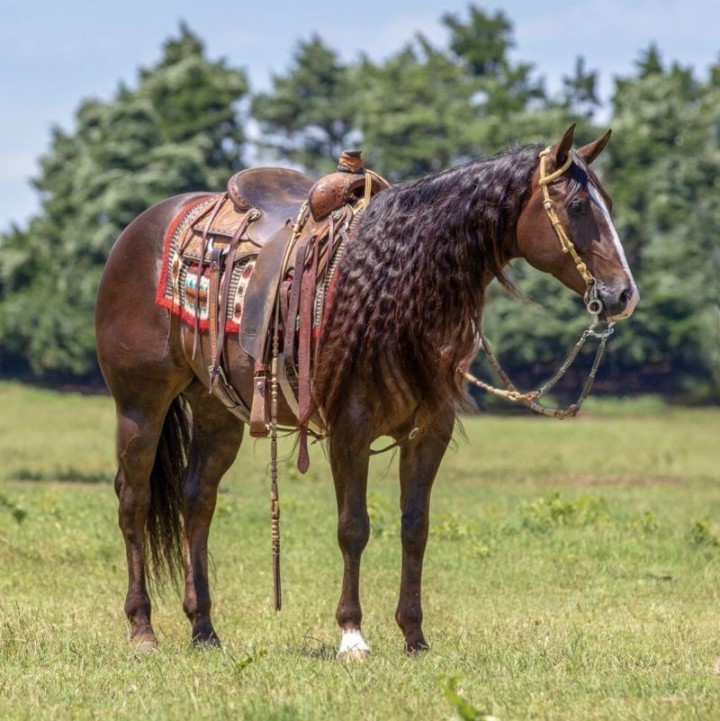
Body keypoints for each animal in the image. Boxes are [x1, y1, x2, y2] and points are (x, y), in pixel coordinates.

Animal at [95, 124, 638, 659]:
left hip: (216, 409)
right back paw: (142, 630)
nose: (623, 295)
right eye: (577, 206)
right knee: (134, 499)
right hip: (140, 405)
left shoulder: (429, 431)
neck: (392, 286)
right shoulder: (349, 429)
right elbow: (353, 527)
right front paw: (352, 634)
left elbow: (415, 526)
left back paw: (204, 629)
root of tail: (139, 229)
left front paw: (414, 635)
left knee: (197, 499)